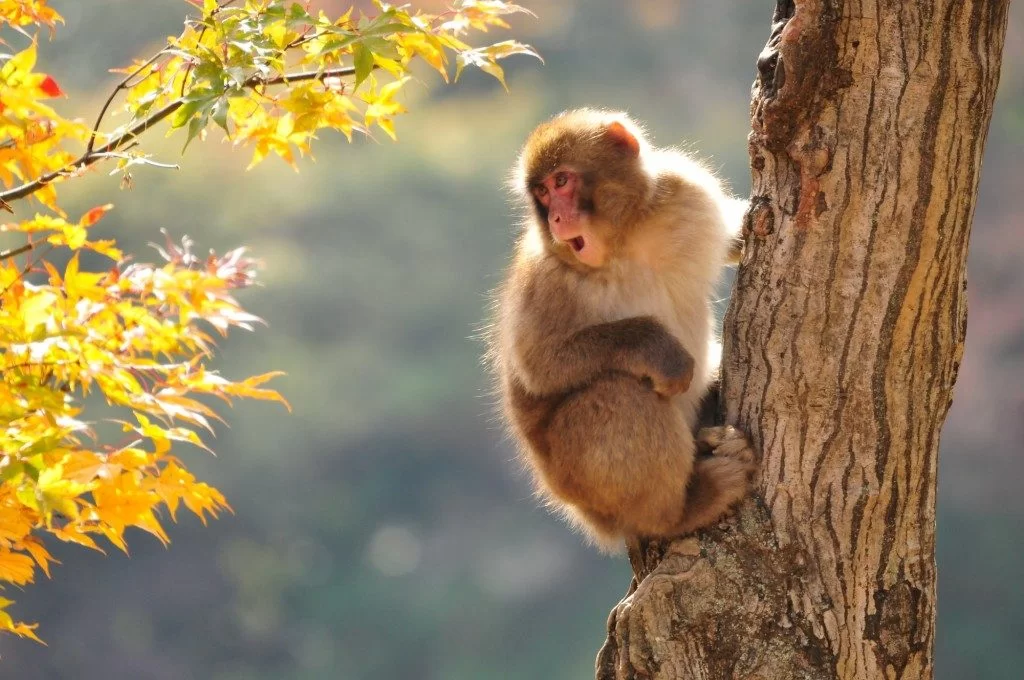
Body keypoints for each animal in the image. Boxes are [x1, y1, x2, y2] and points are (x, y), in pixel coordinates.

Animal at [486, 109, 756, 551]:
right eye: (541, 193)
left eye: (561, 181)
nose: (556, 217)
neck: (624, 242)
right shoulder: (544, 277)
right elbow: (539, 366)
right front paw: (659, 349)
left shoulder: (686, 191)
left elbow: (733, 235)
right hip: (583, 483)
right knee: (620, 393)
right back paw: (683, 510)